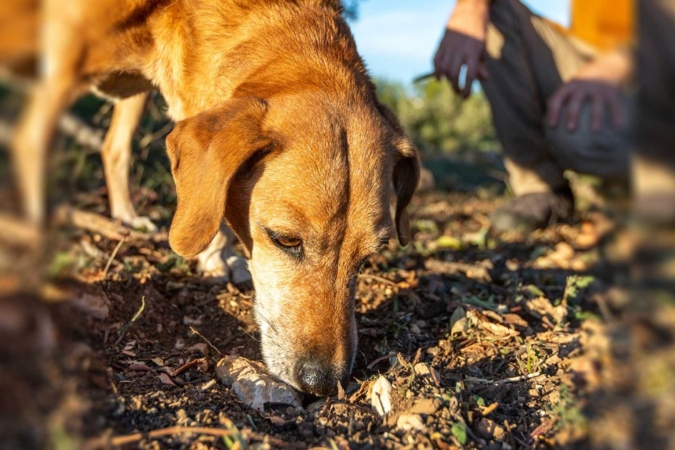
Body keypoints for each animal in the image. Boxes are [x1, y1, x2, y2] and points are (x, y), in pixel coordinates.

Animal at [0, 0, 420, 394]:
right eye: (286, 240)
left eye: (368, 257)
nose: (323, 383)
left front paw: (218, 256)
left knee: (113, 147)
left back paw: (125, 216)